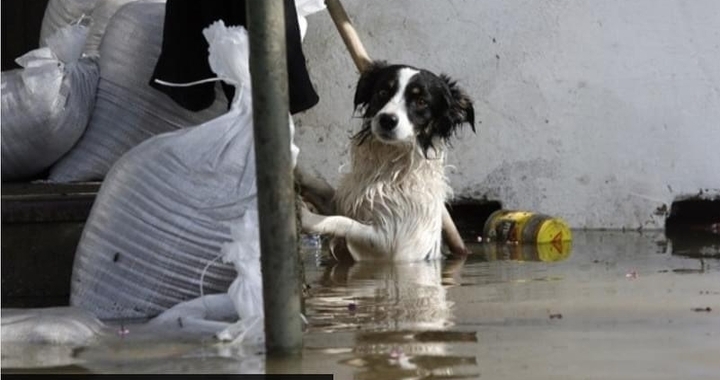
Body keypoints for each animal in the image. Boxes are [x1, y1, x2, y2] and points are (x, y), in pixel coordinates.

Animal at [300, 60, 476, 262]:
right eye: (383, 92)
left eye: (421, 102)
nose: (387, 120)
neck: (389, 169)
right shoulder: (345, 202)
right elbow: (325, 190)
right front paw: (297, 172)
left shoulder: (391, 244)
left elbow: (343, 222)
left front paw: (306, 216)